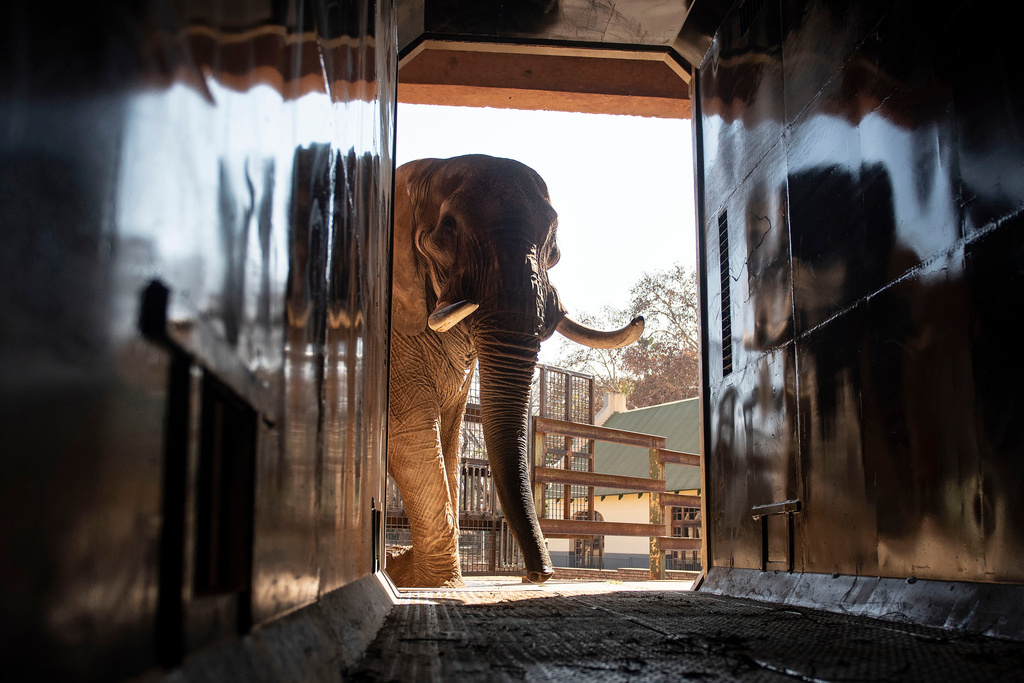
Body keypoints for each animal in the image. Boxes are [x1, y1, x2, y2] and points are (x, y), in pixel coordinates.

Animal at [386, 154, 643, 587]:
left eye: (554, 250)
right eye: (445, 234)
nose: (539, 574)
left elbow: (448, 442)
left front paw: (412, 573)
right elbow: (410, 434)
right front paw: (428, 581)